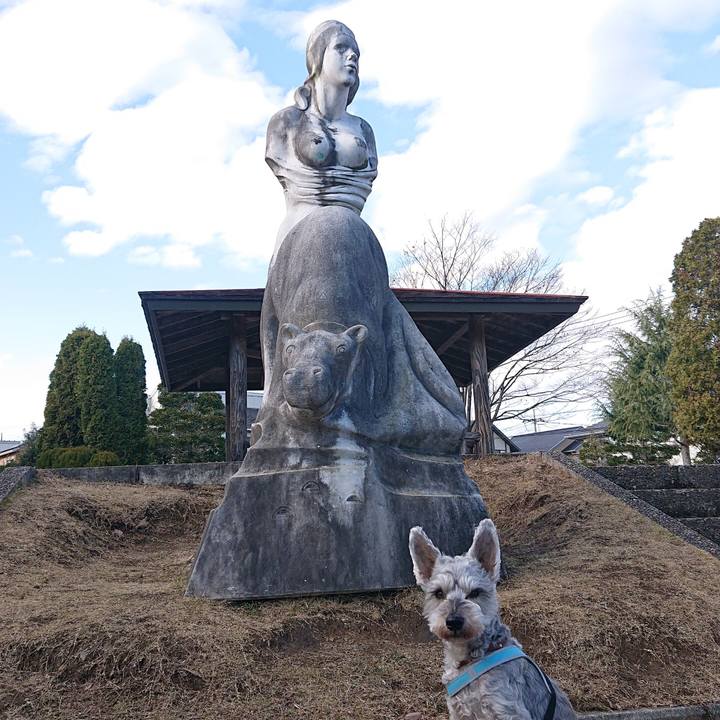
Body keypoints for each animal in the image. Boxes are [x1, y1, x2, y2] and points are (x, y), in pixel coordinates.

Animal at [408, 520, 576, 720]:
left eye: (475, 592)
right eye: (438, 593)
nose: (454, 621)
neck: (472, 659)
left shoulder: (507, 710)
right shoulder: (459, 712)